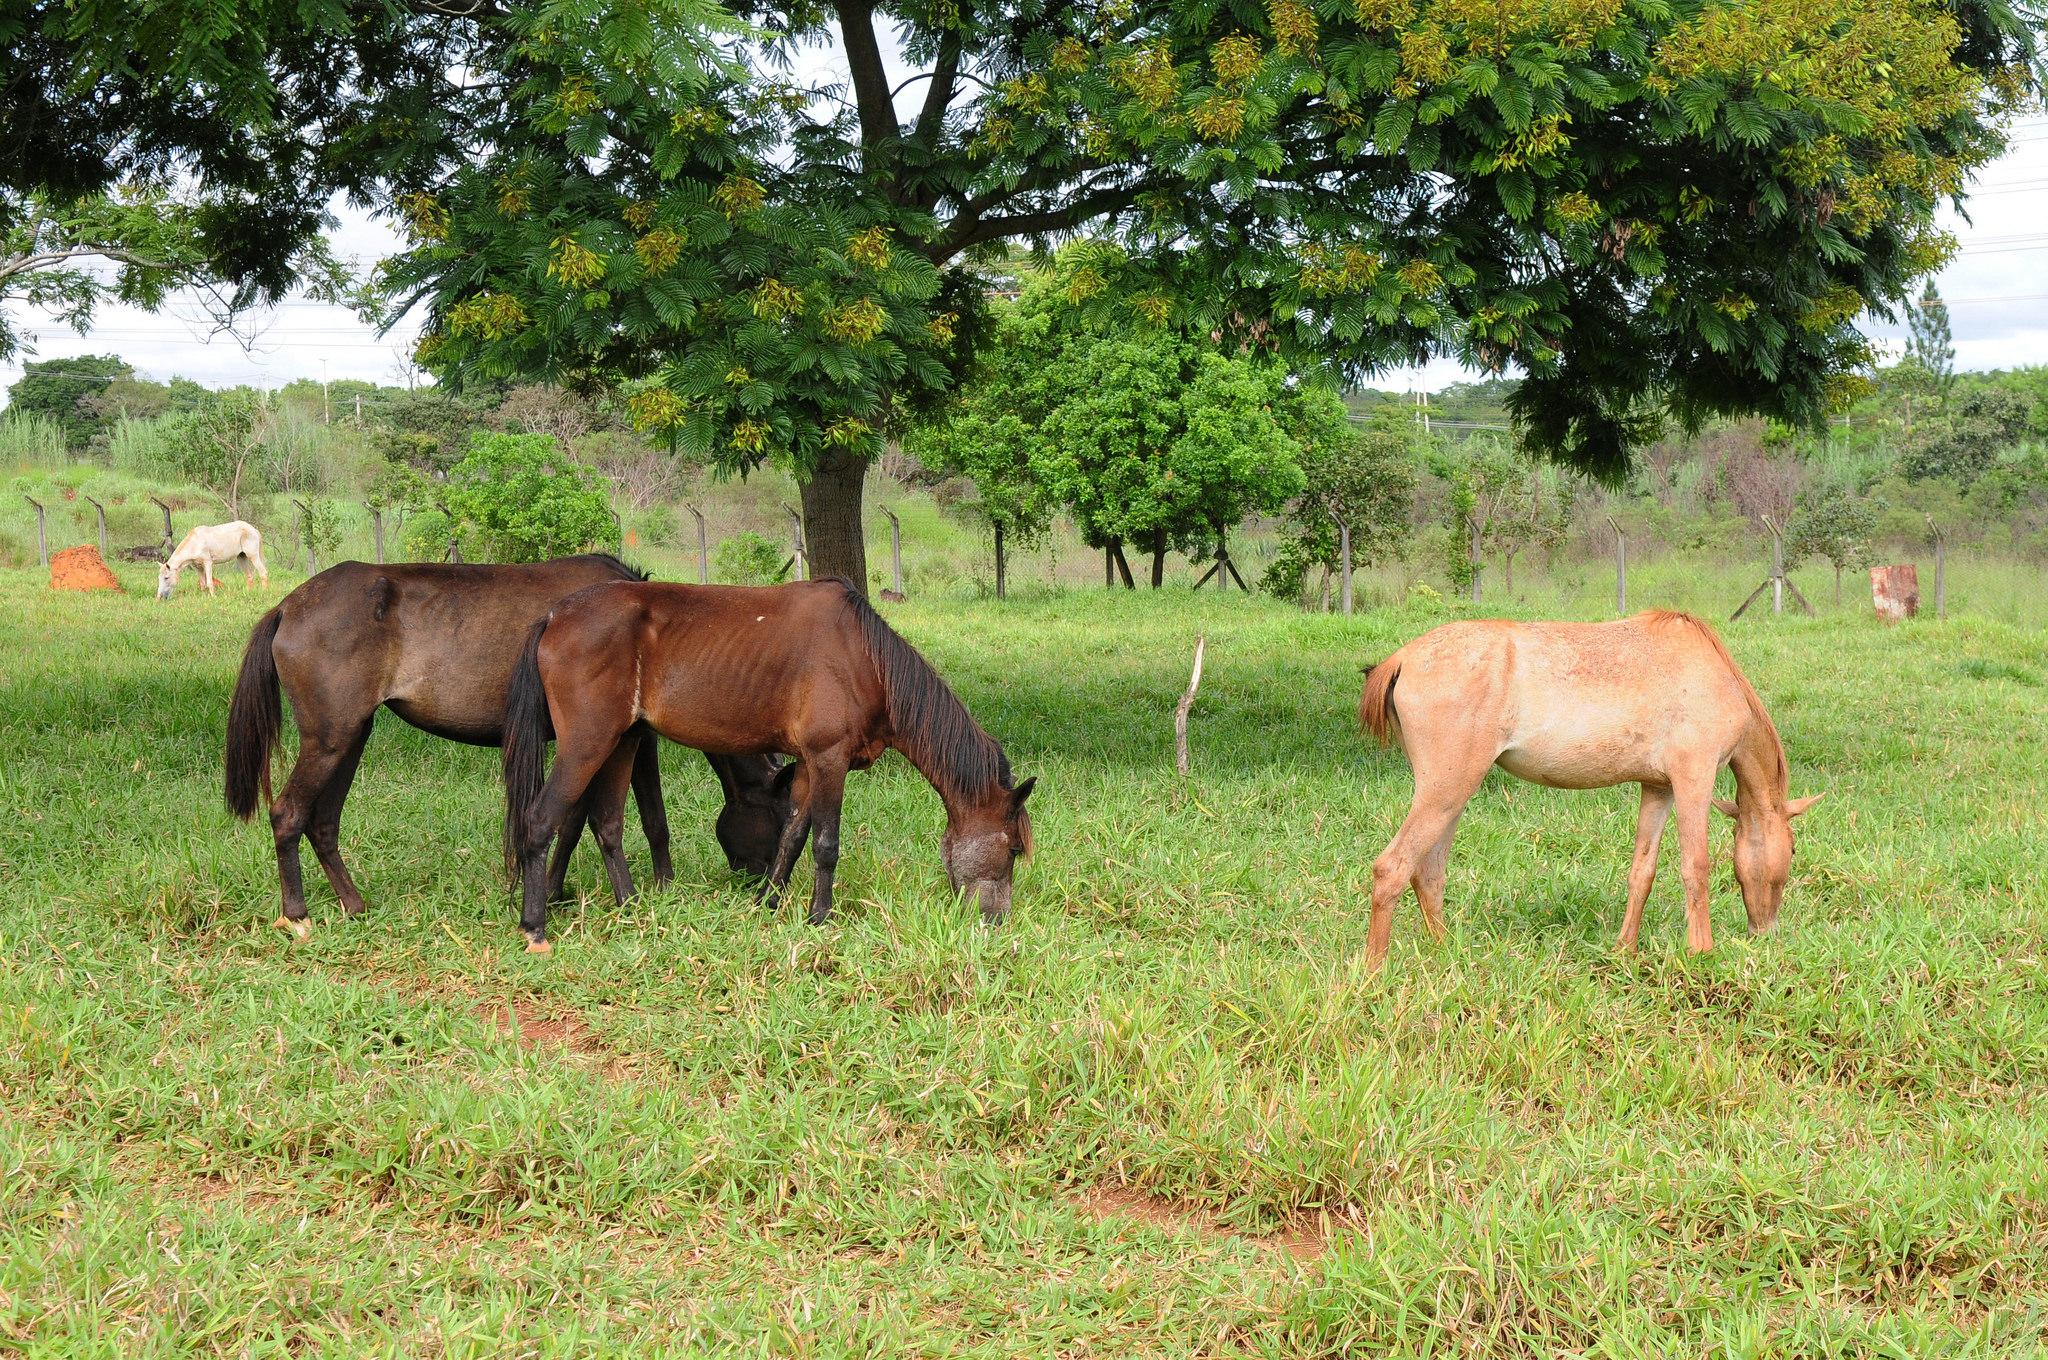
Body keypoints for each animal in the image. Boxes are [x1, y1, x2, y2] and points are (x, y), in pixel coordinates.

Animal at [226, 557, 790, 942]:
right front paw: (661, 886)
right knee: (288, 813)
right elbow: (646, 816)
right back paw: (298, 916)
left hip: (349, 736)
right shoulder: (625, 737)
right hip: (331, 740)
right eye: (782, 814)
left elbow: (575, 820)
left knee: (322, 821)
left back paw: (353, 904)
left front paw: (554, 891)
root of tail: (287, 606)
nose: (763, 880)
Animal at [503, 577, 1032, 950]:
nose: (997, 922)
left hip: (624, 741)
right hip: (587, 744)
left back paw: (631, 907)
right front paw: (820, 917)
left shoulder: (807, 764)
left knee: (607, 823)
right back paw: (535, 927)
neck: (866, 659)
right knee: (540, 820)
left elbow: (792, 836)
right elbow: (825, 843)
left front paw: (768, 901)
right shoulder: (829, 759)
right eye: (1012, 850)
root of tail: (554, 616)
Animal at [1359, 610, 1826, 970]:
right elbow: (1696, 867)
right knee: (1393, 868)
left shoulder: (1658, 789)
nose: (1766, 933)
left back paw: (1447, 954)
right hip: (1445, 792)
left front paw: (1624, 949)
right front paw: (1701, 953)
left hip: (1451, 797)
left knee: (1428, 873)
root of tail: (1403, 657)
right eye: (1793, 849)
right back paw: (1374, 972)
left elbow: (1643, 871)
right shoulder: (1694, 780)